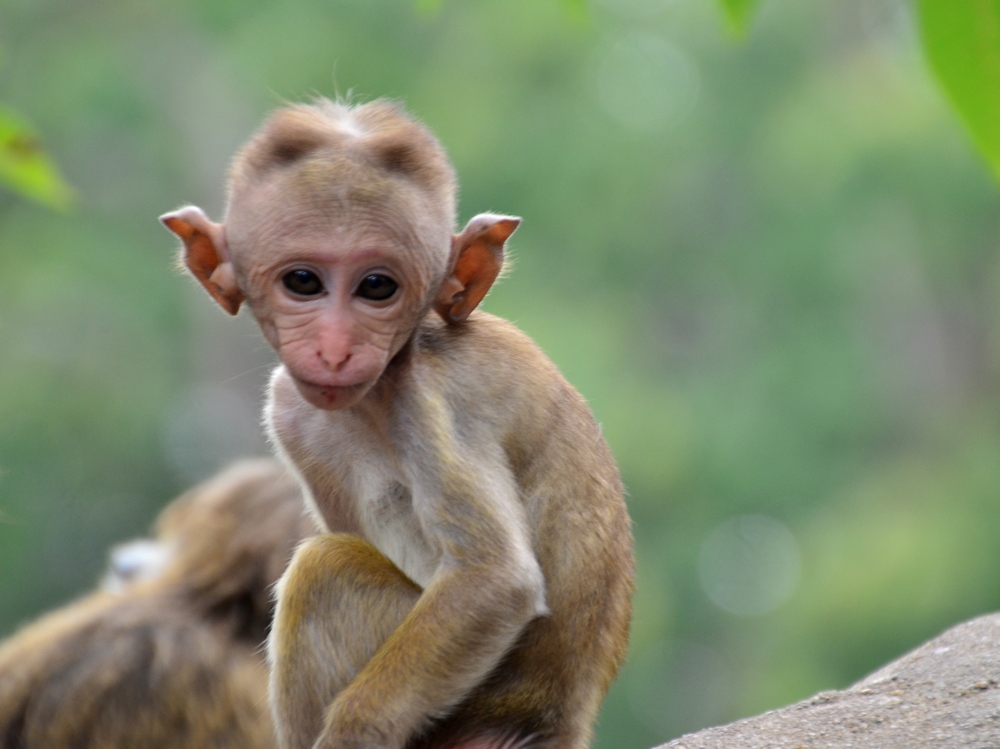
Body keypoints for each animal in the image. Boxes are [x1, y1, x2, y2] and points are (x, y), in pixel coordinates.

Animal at [161, 101, 636, 748]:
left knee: (325, 572)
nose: (335, 349)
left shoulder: (432, 400)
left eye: (377, 286)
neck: (377, 395)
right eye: (302, 282)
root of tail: (557, 722)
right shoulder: (289, 407)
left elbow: (496, 580)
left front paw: (351, 733)